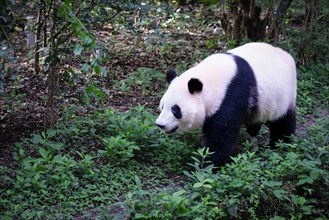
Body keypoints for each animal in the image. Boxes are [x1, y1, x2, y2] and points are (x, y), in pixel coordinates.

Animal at [155, 42, 296, 167]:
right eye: (162, 106)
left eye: (175, 109)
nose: (160, 125)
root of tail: (288, 55)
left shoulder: (232, 95)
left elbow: (221, 136)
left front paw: (207, 163)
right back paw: (253, 131)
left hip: (285, 94)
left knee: (283, 122)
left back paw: (280, 145)